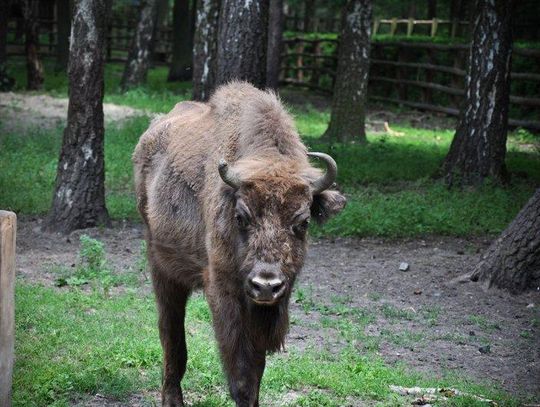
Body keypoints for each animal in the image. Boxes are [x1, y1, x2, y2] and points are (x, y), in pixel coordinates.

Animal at [133, 81, 348, 406]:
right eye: (241, 216)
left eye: (303, 222)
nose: (266, 285)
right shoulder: (225, 294)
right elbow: (242, 373)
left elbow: (257, 371)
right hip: (162, 266)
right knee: (171, 334)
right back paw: (172, 398)